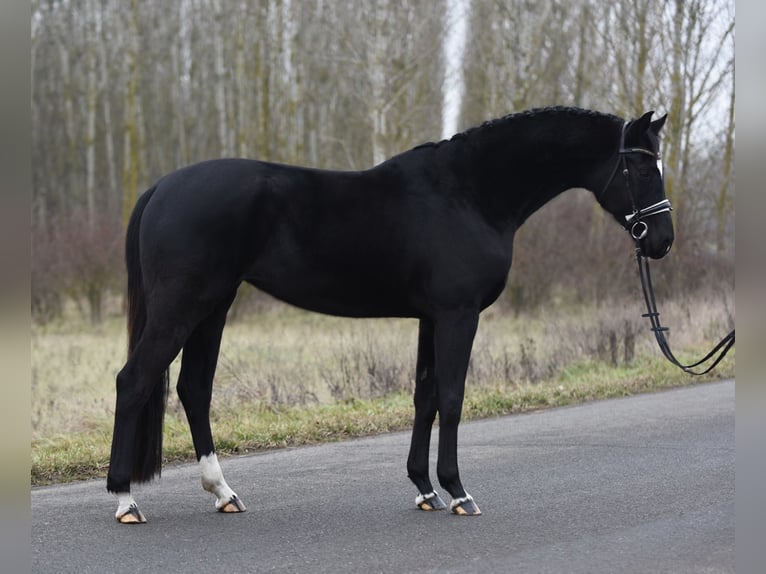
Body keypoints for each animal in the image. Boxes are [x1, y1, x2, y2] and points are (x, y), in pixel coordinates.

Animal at [106, 108, 672, 528]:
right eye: (644, 169)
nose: (662, 242)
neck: (469, 192)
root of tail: (161, 187)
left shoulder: (431, 318)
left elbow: (425, 396)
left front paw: (425, 489)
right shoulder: (458, 315)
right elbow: (452, 397)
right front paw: (459, 492)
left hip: (213, 307)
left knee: (193, 389)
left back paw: (223, 492)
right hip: (185, 306)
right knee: (134, 381)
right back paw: (126, 501)